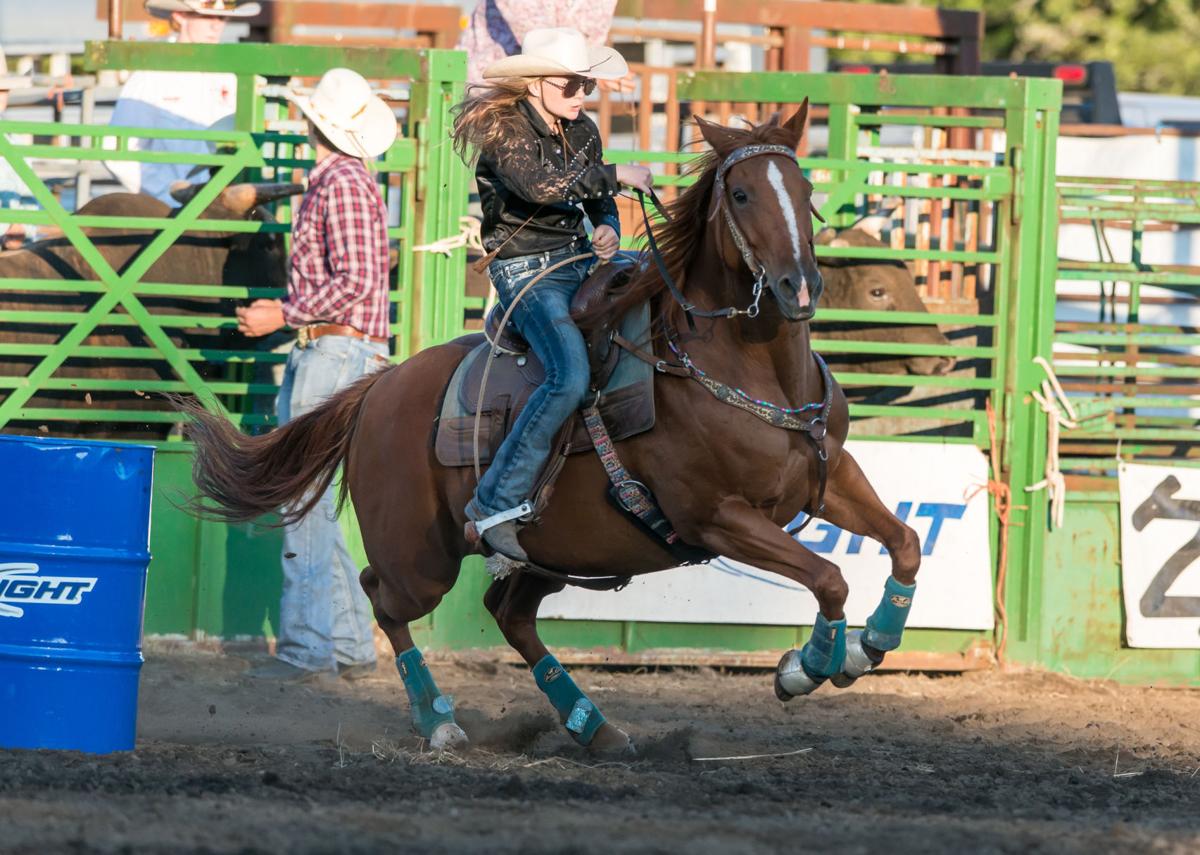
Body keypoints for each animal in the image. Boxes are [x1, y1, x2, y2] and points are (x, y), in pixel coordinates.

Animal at [182, 106, 921, 754]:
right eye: (740, 193)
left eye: (804, 189)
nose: (800, 287)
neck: (747, 368)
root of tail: (378, 389)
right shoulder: (717, 516)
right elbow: (828, 575)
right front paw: (808, 665)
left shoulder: (829, 476)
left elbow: (904, 543)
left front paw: (869, 646)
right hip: (421, 557)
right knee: (383, 598)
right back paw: (441, 722)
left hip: (561, 548)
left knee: (509, 613)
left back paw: (595, 726)